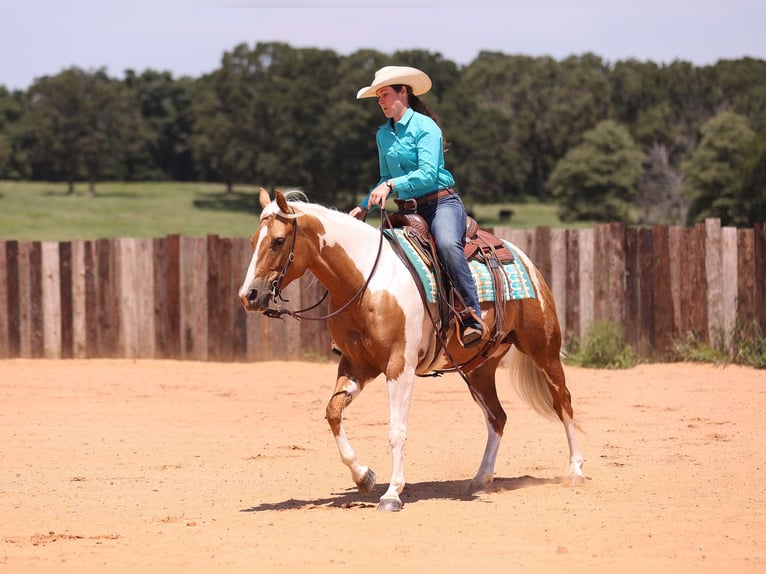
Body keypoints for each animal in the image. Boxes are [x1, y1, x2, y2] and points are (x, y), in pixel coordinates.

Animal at [240, 189, 588, 512]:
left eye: (279, 241)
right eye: (254, 240)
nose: (249, 295)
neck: (368, 283)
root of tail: (521, 258)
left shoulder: (399, 367)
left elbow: (396, 430)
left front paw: (392, 493)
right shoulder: (356, 365)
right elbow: (333, 412)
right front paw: (364, 476)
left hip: (543, 348)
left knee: (563, 402)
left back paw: (575, 472)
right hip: (478, 369)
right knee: (497, 417)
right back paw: (481, 478)